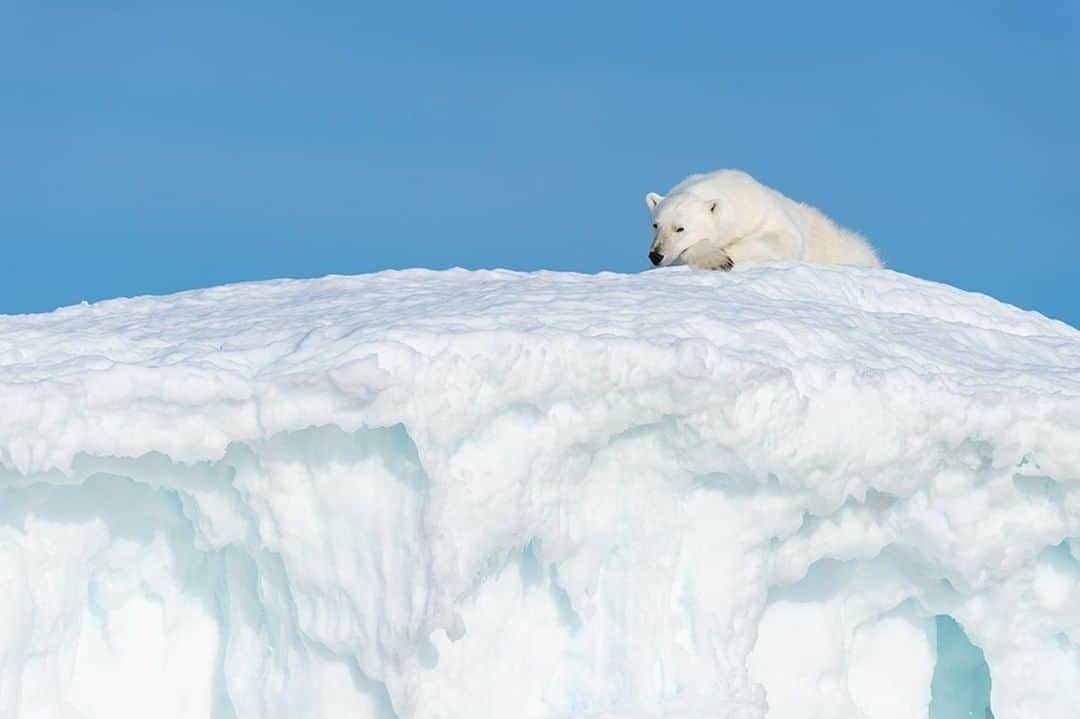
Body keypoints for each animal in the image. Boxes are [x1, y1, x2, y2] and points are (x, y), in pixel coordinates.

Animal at [643, 169, 881, 269]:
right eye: (655, 225)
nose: (655, 255)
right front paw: (715, 258)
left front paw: (724, 256)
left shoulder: (762, 210)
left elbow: (784, 239)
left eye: (680, 228)